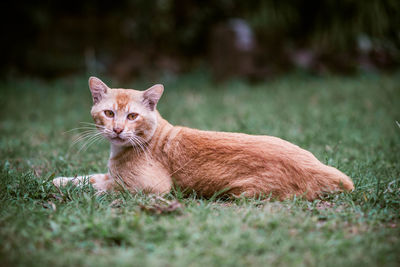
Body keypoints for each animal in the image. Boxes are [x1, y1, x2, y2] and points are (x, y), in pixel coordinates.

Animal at [52, 77, 354, 201]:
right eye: (109, 113)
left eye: (132, 116)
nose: (116, 129)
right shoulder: (111, 175)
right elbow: (90, 177)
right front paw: (57, 180)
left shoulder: (149, 188)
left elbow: (101, 187)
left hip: (242, 194)